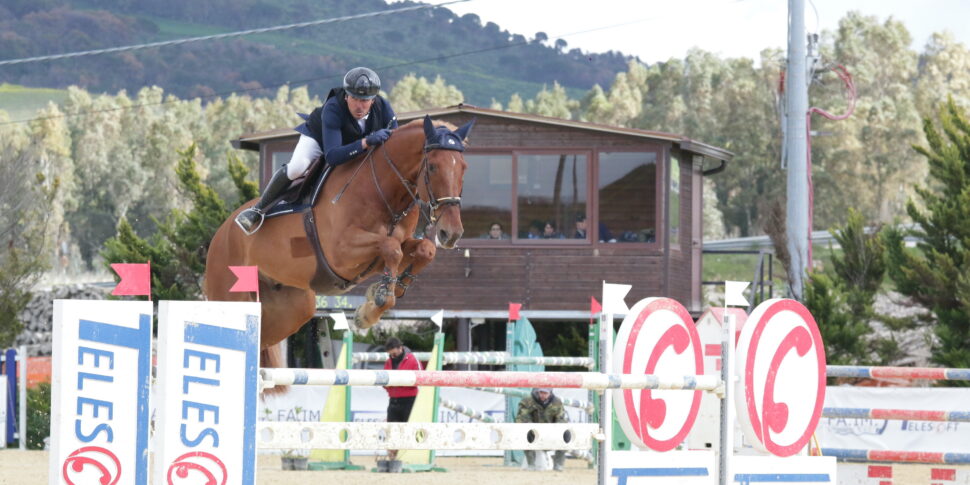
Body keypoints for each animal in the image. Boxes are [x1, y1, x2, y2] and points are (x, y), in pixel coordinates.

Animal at [204, 115, 472, 366]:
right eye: (433, 167)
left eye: (464, 167)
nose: (451, 233)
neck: (385, 191)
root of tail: (220, 233)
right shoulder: (341, 252)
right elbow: (391, 248)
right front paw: (374, 305)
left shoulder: (379, 255)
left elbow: (423, 249)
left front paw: (386, 293)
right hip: (229, 294)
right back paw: (250, 218)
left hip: (292, 308)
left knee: (263, 339)